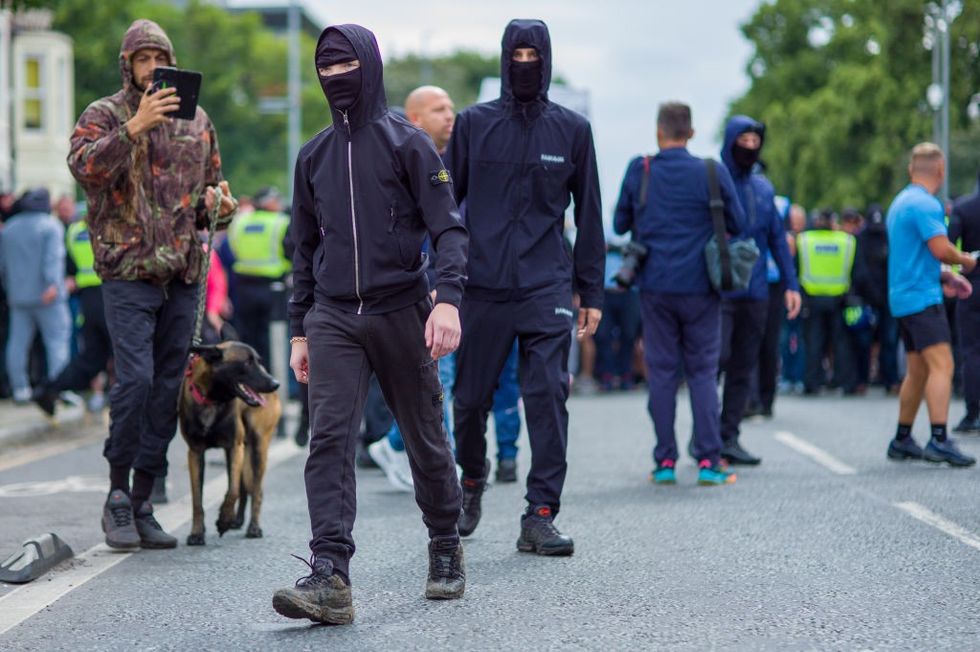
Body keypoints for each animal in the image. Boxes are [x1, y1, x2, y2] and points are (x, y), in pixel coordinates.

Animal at [180, 342, 282, 544]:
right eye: (247, 362)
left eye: (259, 361)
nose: (275, 384)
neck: (212, 401)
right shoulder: (195, 453)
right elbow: (197, 499)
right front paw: (197, 533)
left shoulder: (234, 447)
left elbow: (232, 490)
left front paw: (224, 520)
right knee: (245, 487)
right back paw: (238, 520)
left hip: (258, 449)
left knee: (256, 491)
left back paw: (253, 527)